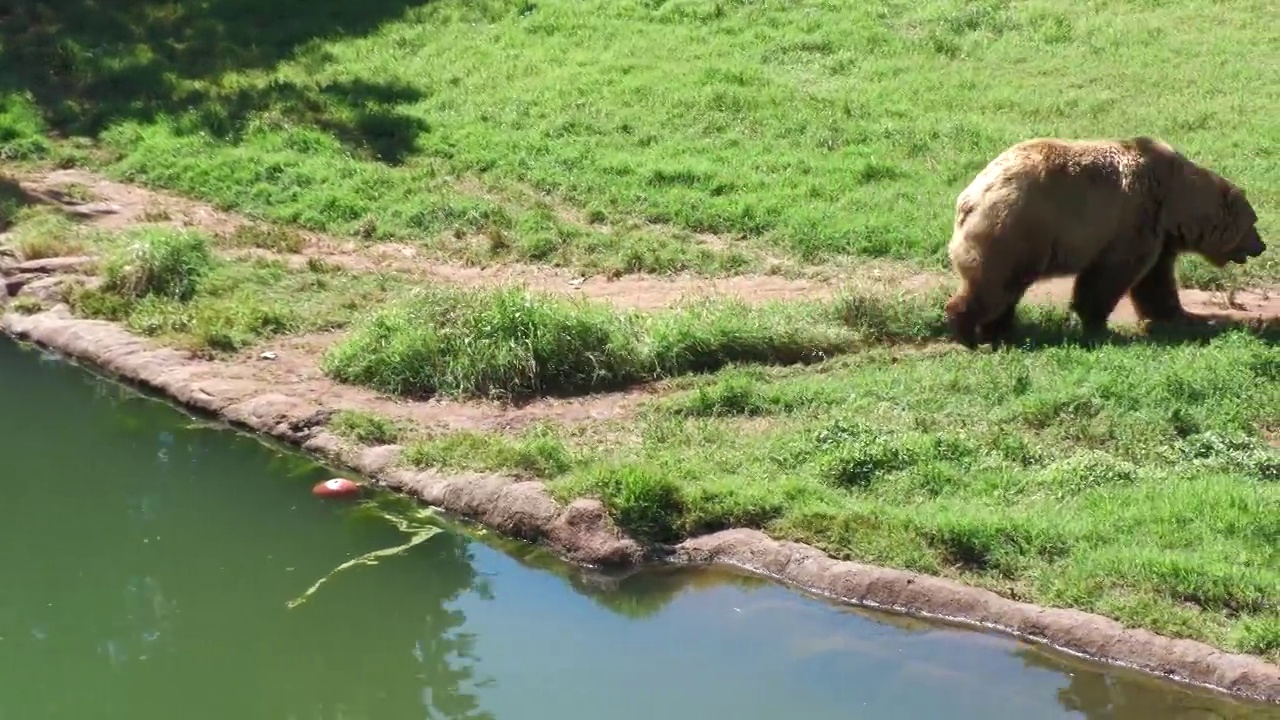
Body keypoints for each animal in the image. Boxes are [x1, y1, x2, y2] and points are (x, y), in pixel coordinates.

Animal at [942, 136, 1269, 348]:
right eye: (1254, 222)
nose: (1261, 245)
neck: (1173, 203)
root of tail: (970, 196)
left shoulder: (1159, 237)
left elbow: (1155, 282)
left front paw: (1180, 316)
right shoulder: (1133, 219)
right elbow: (1110, 276)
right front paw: (1098, 325)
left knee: (1006, 290)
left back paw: (1000, 330)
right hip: (1016, 229)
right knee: (993, 284)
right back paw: (967, 330)